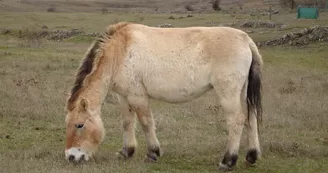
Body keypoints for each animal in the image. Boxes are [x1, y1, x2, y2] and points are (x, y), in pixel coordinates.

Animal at [64, 22, 264, 170]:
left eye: (79, 125)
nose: (71, 156)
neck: (120, 50)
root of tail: (246, 40)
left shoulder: (137, 96)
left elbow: (146, 123)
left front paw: (152, 154)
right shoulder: (124, 96)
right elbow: (127, 123)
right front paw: (126, 152)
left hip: (228, 93)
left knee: (236, 121)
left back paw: (227, 161)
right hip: (242, 92)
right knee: (250, 118)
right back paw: (251, 156)